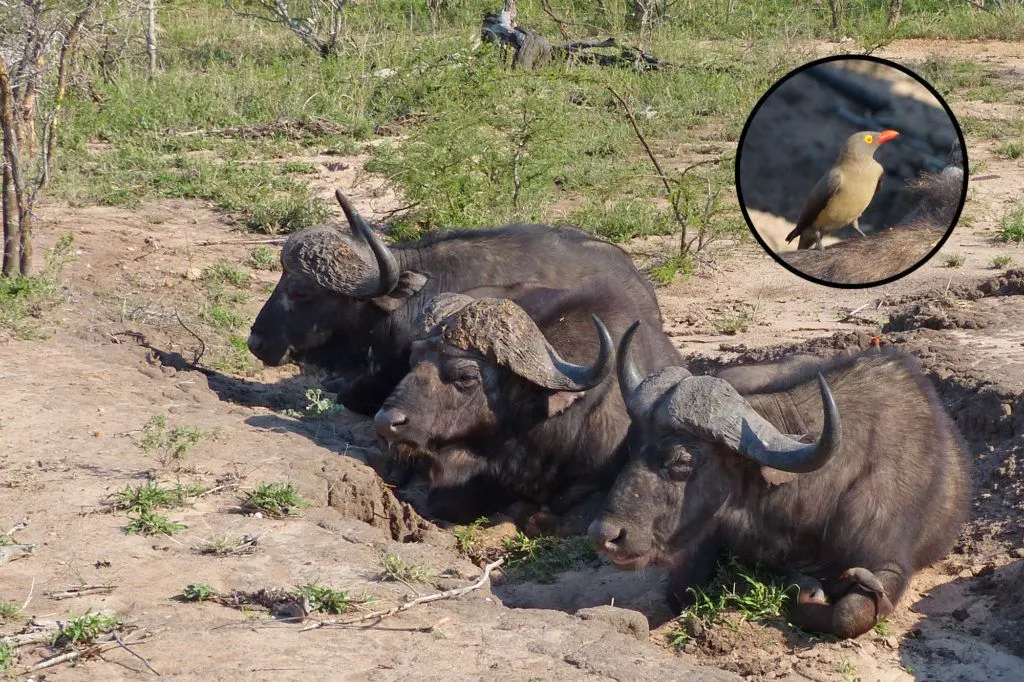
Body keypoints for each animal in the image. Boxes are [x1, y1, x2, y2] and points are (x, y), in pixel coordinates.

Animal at [589, 325, 970, 638]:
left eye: (682, 461)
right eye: (633, 447)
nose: (604, 535)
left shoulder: (889, 564)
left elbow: (849, 614)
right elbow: (679, 590)